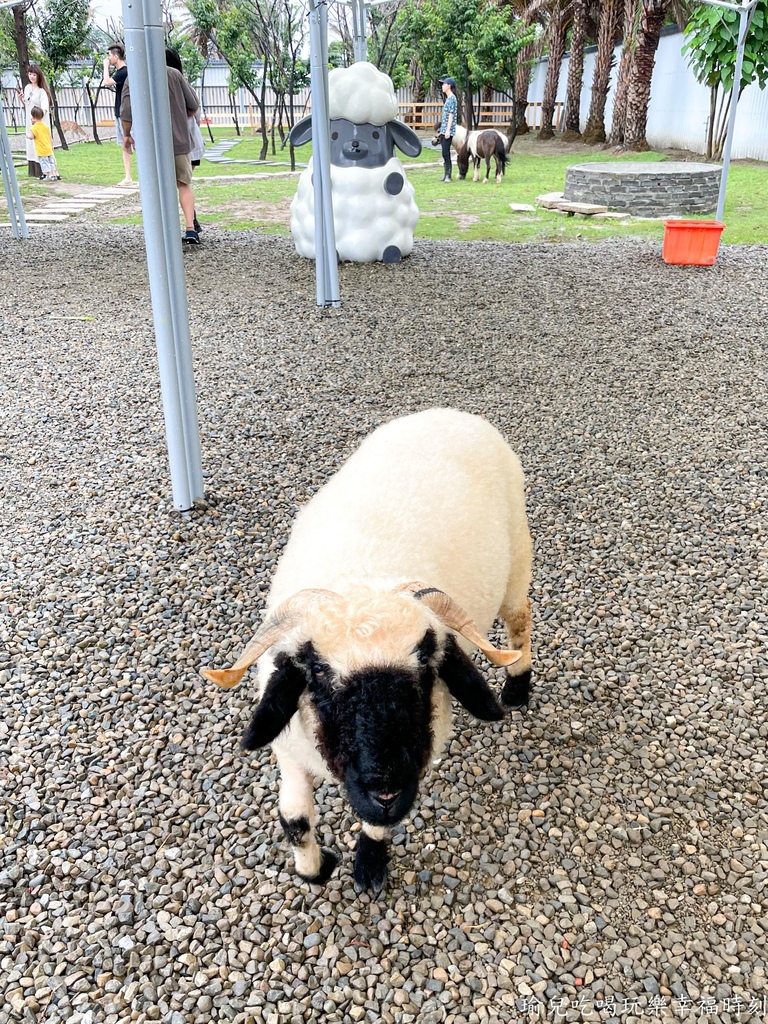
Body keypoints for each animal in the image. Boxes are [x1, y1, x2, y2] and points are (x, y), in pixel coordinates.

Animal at [201, 405, 532, 888]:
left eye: (427, 665)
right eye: (317, 671)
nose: (384, 786)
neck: (362, 574)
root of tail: (451, 412)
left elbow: (377, 823)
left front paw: (369, 866)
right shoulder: (288, 746)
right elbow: (294, 819)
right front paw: (314, 870)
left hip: (519, 558)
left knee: (520, 623)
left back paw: (518, 688)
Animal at [288, 60, 423, 264]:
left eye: (375, 134)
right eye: (334, 135)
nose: (354, 143)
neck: (357, 168)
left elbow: (395, 180)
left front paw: (393, 181)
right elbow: (315, 180)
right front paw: (324, 182)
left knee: (391, 246)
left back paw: (391, 254)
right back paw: (334, 255)